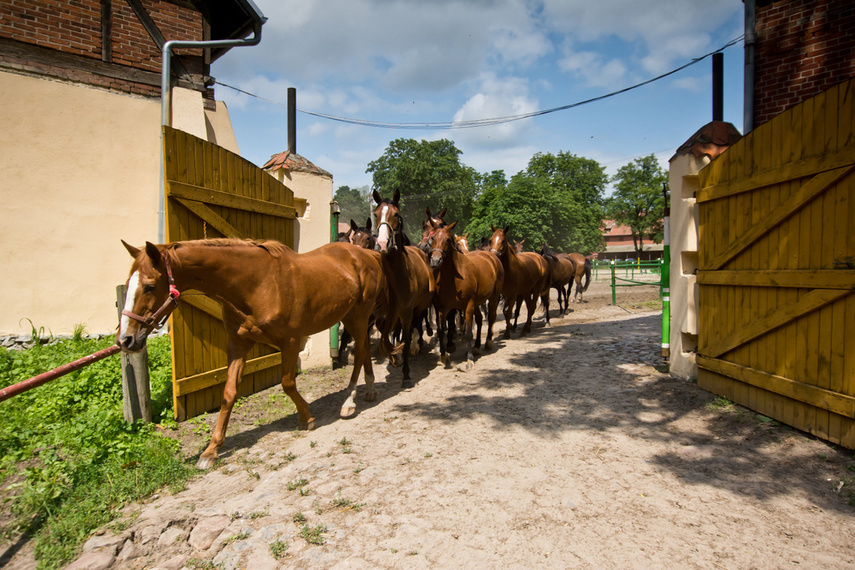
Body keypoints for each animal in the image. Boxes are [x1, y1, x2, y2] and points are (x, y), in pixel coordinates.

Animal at [117, 239, 388, 466]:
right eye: (128, 283)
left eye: (150, 286)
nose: (126, 339)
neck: (256, 284)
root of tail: (367, 254)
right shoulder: (238, 345)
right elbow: (228, 394)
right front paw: (211, 450)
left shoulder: (291, 341)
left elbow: (287, 383)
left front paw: (307, 417)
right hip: (351, 315)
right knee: (364, 350)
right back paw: (370, 390)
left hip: (359, 314)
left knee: (360, 352)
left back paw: (348, 402)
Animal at [374, 187, 438, 386]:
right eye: (376, 214)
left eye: (396, 215)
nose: (382, 244)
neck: (398, 277)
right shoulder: (386, 313)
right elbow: (388, 333)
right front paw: (394, 357)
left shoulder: (407, 311)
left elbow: (406, 336)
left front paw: (406, 374)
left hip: (419, 307)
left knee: (417, 324)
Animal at [426, 220, 504, 370]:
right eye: (432, 238)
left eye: (448, 239)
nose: (435, 261)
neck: (453, 278)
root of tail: (492, 256)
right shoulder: (442, 308)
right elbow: (441, 330)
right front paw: (444, 356)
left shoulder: (467, 307)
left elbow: (468, 333)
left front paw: (469, 359)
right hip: (478, 302)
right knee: (479, 320)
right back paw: (476, 346)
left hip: (492, 298)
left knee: (491, 317)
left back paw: (488, 342)